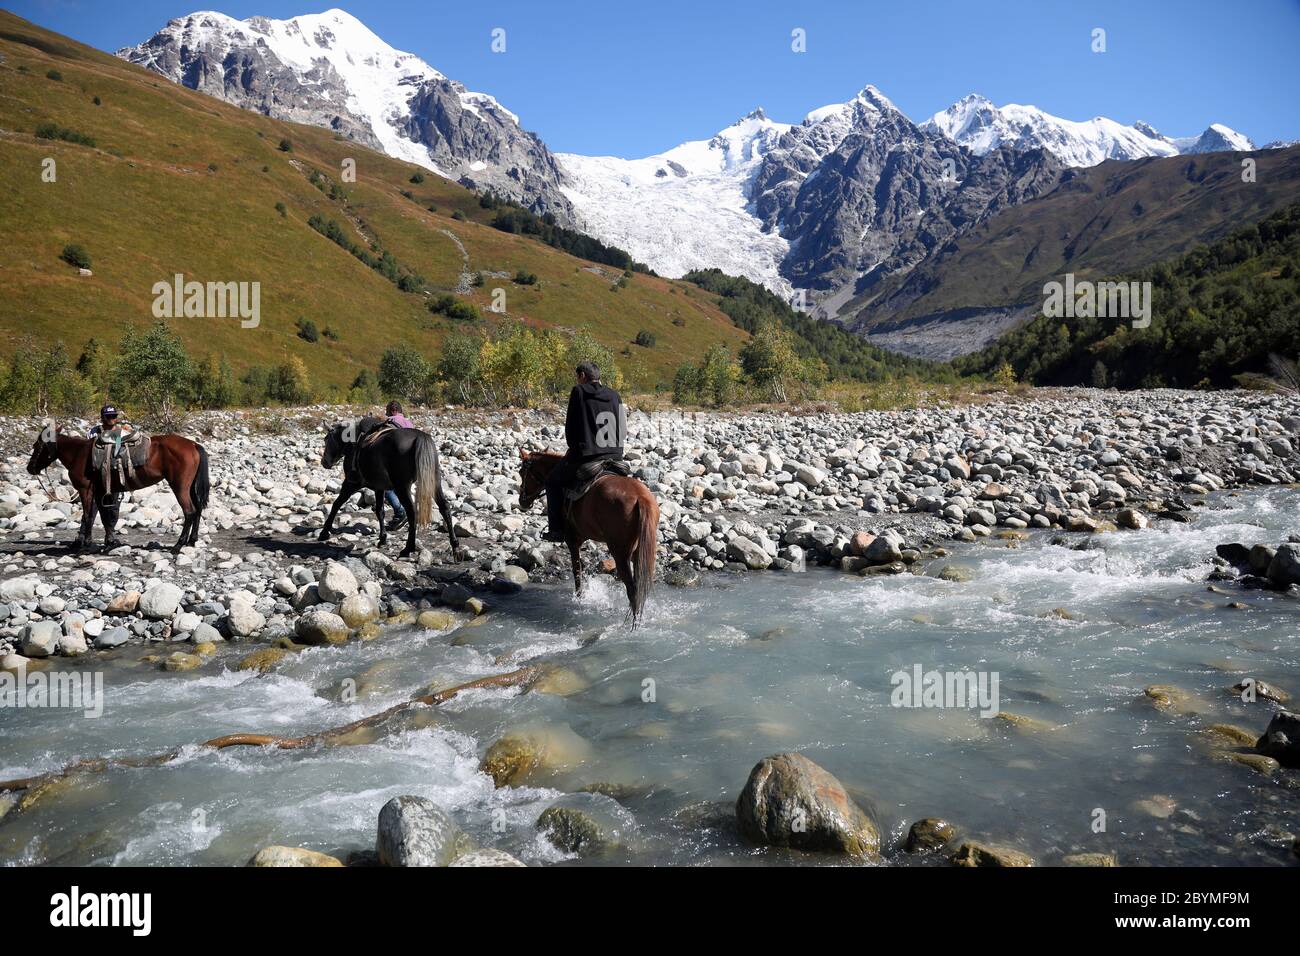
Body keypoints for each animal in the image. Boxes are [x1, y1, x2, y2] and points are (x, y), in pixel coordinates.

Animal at [520, 450, 660, 624]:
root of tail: (640, 497)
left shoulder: (573, 541)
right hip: (639, 551)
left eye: (522, 472)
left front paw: (580, 599)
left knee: (632, 589)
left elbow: (577, 571)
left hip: (620, 553)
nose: (522, 501)